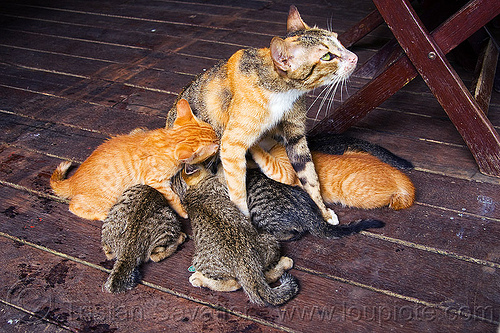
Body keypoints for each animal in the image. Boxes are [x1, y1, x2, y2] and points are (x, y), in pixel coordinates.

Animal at [50, 98, 219, 220]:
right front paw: (182, 211)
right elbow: (173, 198)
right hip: (105, 199)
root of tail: (72, 181)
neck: (167, 139)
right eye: (215, 146)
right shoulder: (156, 181)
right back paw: (101, 215)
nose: (219, 141)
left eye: (215, 135)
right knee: (74, 206)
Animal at [166, 5, 358, 224]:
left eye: (339, 41)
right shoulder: (231, 146)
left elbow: (310, 177)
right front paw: (245, 221)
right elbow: (238, 192)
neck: (284, 90)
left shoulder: (296, 136)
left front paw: (324, 212)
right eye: (327, 56)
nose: (354, 57)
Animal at [172, 164, 296, 306]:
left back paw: (285, 263)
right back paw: (199, 279)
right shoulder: (223, 189)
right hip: (200, 260)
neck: (189, 193)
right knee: (235, 283)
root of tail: (245, 262)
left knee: (263, 276)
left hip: (268, 240)